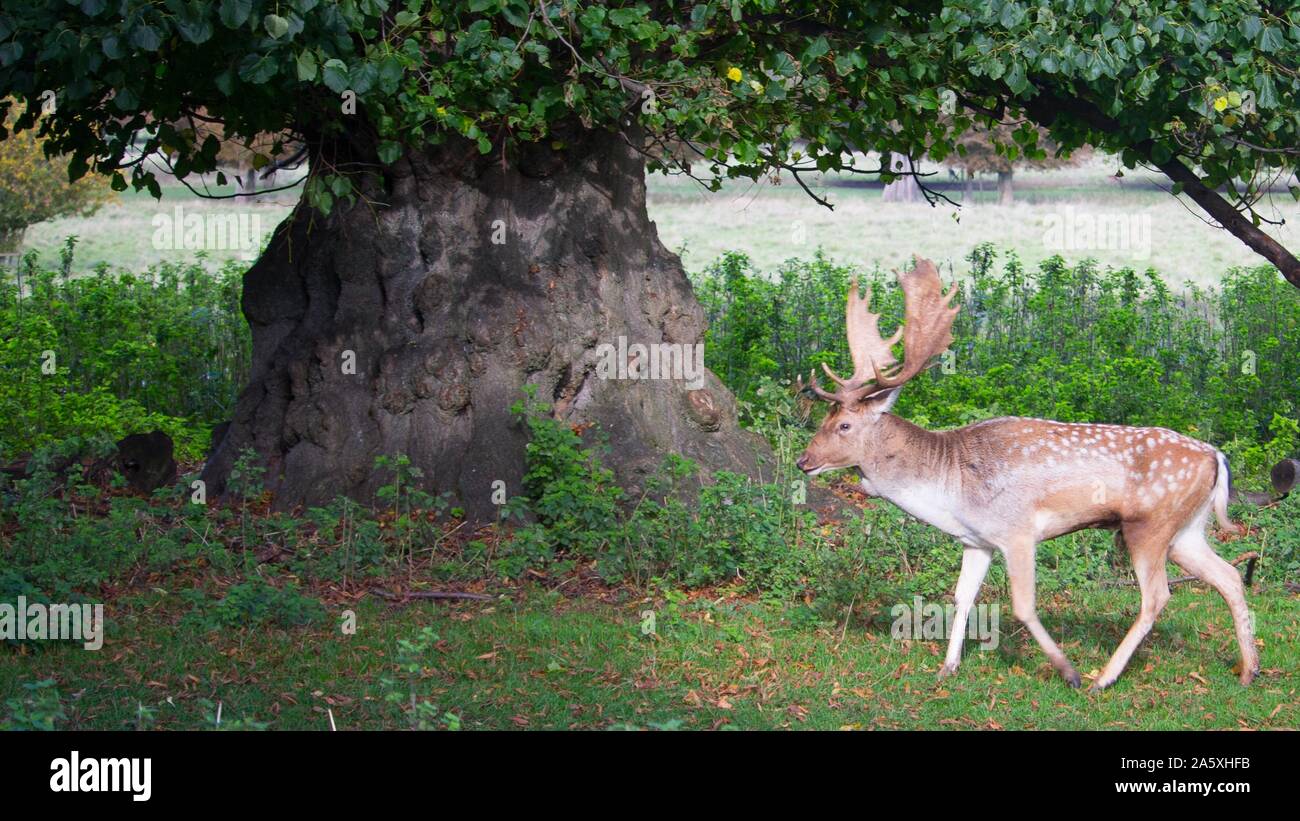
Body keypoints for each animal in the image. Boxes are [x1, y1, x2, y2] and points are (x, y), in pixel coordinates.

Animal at [795, 254, 1253, 685]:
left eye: (844, 424)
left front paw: (1067, 671)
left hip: (1151, 525)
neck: (949, 488)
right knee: (1230, 575)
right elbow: (962, 598)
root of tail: (1216, 456)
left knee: (1157, 596)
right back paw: (1250, 669)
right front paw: (947, 668)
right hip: (1186, 530)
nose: (804, 461)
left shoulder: (1017, 532)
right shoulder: (976, 540)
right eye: (825, 419)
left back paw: (1102, 678)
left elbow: (1022, 605)